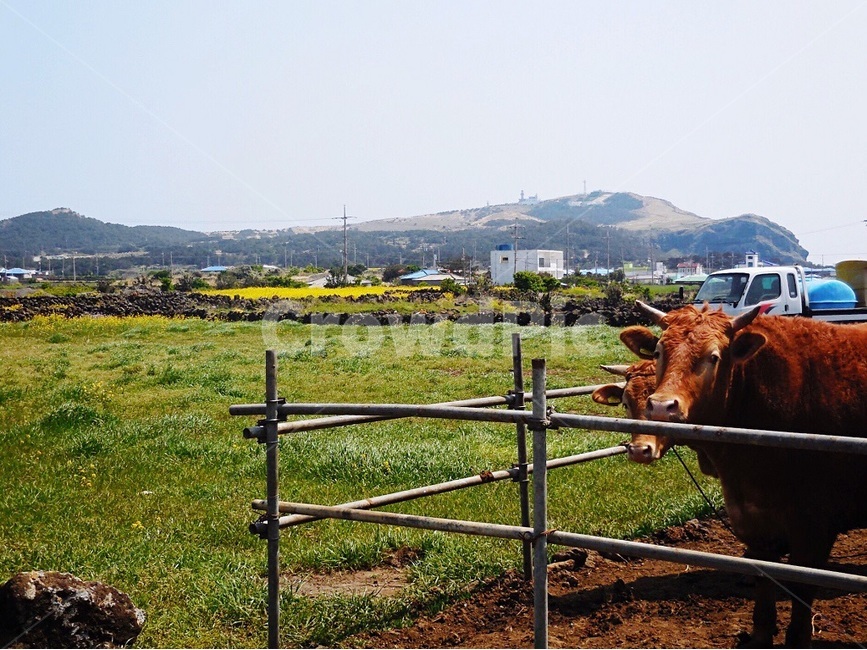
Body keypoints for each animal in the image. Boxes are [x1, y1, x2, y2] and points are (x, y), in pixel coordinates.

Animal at [624, 300, 867, 648]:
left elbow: (801, 584)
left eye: (713, 357)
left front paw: (798, 635)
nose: (660, 407)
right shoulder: (752, 519)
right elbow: (764, 580)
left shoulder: (815, 527)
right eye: (658, 352)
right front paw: (761, 632)